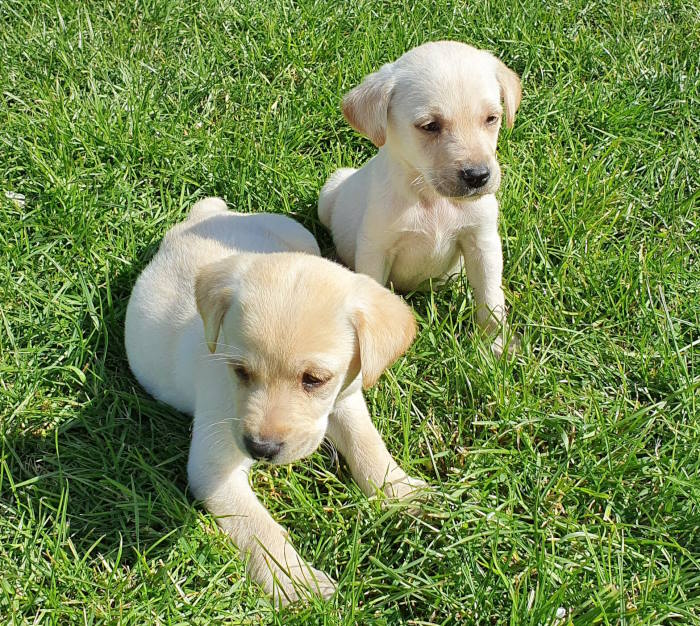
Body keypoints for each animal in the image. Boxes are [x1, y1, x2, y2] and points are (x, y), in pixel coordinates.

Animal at [123, 196, 424, 604]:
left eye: (314, 380)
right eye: (240, 371)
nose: (260, 449)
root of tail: (207, 213)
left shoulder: (345, 394)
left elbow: (367, 442)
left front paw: (401, 493)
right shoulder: (213, 468)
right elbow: (260, 531)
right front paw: (297, 583)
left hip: (301, 236)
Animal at [320, 41, 524, 354]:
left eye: (492, 118)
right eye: (430, 126)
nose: (478, 176)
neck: (431, 198)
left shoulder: (482, 242)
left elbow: (491, 299)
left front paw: (496, 347)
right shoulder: (375, 248)